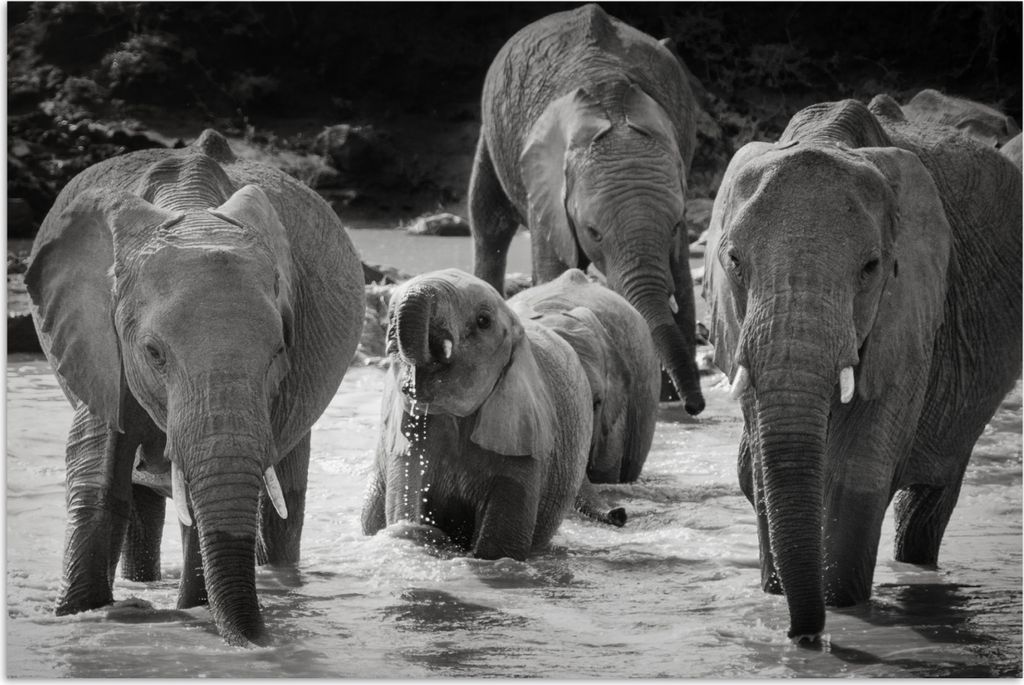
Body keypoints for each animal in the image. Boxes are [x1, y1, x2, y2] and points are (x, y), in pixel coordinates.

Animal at [25, 129, 365, 646]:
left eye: (279, 349)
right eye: (153, 353)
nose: (261, 644)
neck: (193, 212)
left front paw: (192, 612)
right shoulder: (97, 341)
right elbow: (95, 469)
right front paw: (79, 616)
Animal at [361, 268, 592, 560]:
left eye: (483, 321)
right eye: (391, 316)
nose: (411, 381)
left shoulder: (525, 441)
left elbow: (499, 546)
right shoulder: (406, 441)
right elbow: (406, 497)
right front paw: (421, 534)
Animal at [468, 3, 705, 416]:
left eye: (677, 226)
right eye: (594, 232)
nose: (696, 406)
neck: (611, 105)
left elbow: (682, 280)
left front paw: (667, 406)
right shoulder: (545, 191)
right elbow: (553, 272)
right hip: (492, 134)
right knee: (489, 221)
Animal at [702, 97, 1022, 641]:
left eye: (871, 267)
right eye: (734, 261)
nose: (804, 638)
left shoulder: (912, 313)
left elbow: (855, 476)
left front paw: (843, 614)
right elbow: (760, 471)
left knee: (929, 502)